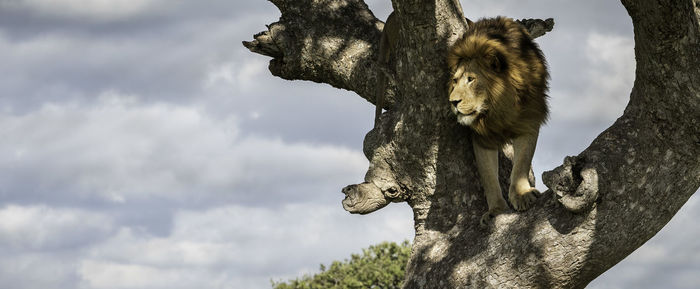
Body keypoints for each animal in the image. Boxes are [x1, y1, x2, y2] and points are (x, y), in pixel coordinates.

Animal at [446, 16, 548, 226]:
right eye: (455, 81)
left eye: (471, 79)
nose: (453, 102)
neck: (496, 109)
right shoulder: (482, 138)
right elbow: (489, 177)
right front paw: (496, 210)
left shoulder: (528, 122)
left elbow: (521, 164)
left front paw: (522, 195)